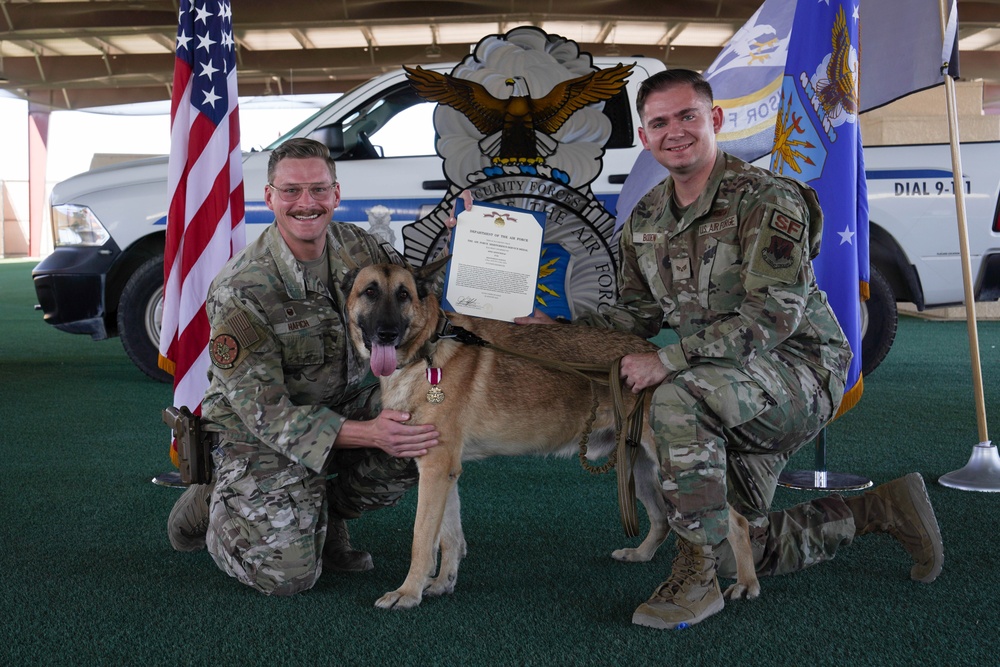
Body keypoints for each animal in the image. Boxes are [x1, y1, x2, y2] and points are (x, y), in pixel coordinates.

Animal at [344, 264, 756, 612]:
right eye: (369, 292)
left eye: (403, 295)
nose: (385, 333)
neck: (427, 351)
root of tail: (658, 355)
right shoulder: (442, 472)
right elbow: (448, 536)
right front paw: (443, 583)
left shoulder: (435, 469)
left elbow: (421, 539)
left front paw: (408, 592)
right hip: (638, 471)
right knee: (661, 519)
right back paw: (641, 555)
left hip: (675, 465)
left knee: (734, 520)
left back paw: (746, 583)